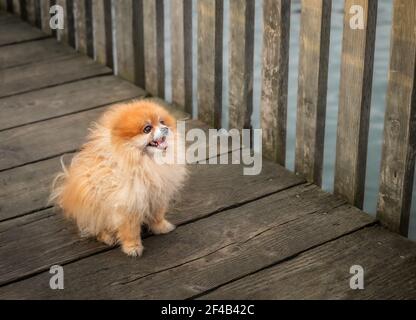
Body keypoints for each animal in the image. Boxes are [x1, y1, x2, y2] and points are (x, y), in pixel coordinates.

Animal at [51, 99, 188, 256]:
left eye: (162, 122)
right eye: (147, 129)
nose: (165, 128)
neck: (146, 162)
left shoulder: (157, 195)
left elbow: (157, 215)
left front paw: (162, 227)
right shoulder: (128, 204)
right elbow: (130, 230)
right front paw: (133, 248)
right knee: (95, 228)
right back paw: (107, 237)